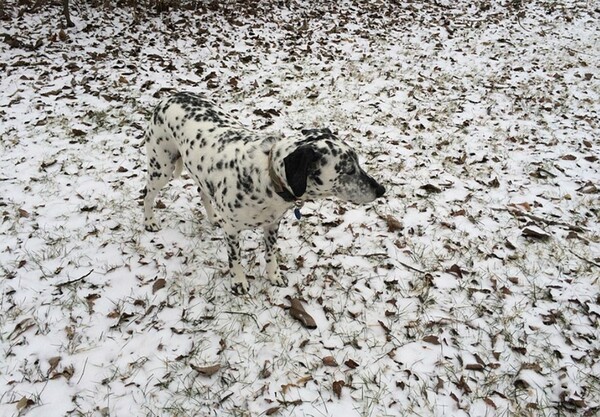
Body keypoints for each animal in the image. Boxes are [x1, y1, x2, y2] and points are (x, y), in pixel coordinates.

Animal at [142, 92, 384, 292]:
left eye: (358, 162)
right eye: (348, 169)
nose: (381, 189)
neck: (266, 176)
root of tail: (168, 97)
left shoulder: (272, 224)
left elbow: (270, 253)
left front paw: (274, 276)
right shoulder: (232, 231)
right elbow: (235, 258)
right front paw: (239, 282)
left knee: (202, 192)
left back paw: (213, 217)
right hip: (161, 166)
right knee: (147, 194)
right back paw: (149, 222)